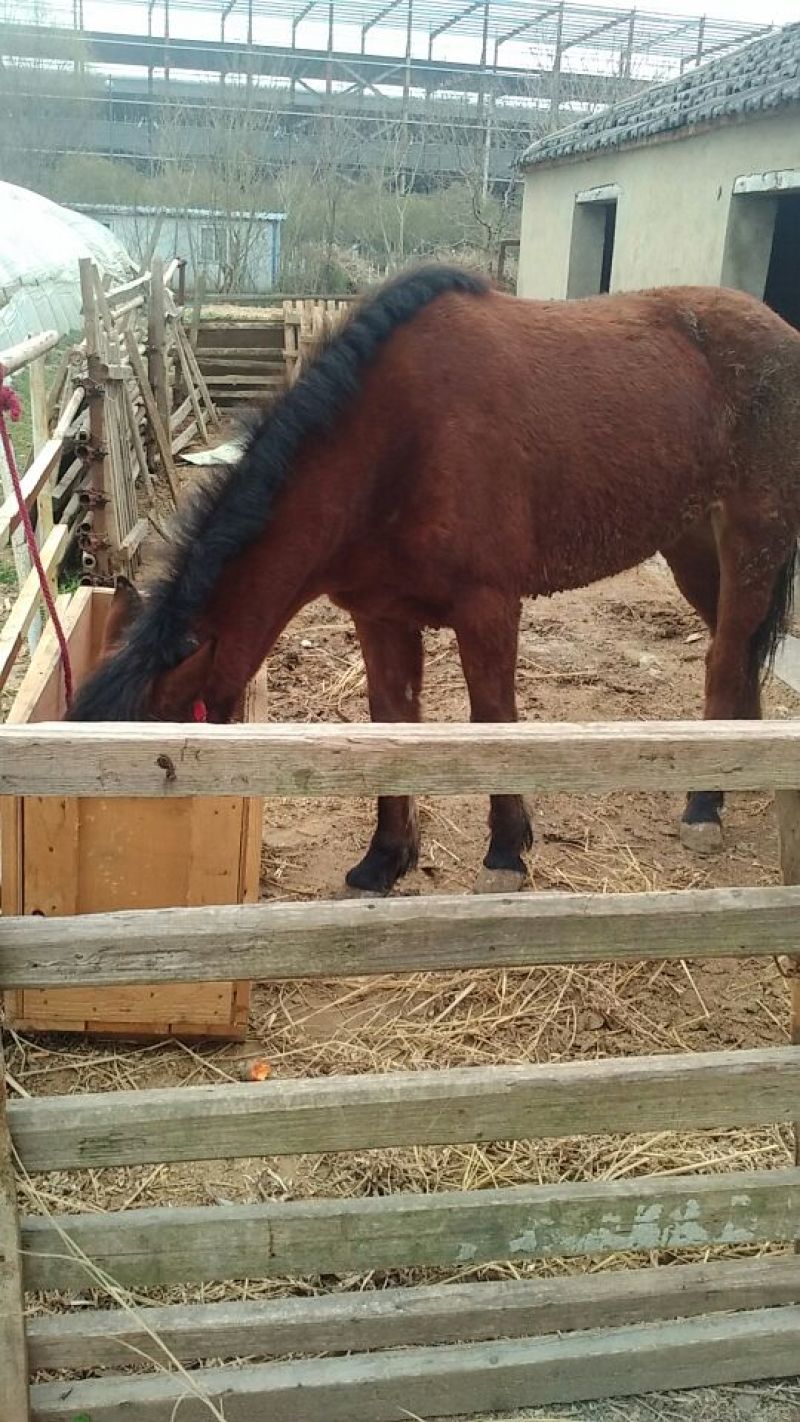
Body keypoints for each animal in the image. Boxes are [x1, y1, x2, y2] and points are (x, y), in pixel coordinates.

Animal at [67, 264, 800, 896]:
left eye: (154, 776)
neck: (391, 444)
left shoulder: (488, 610)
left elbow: (493, 719)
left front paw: (505, 852)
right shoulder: (380, 615)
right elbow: (392, 721)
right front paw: (385, 859)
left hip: (752, 537)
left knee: (725, 655)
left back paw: (704, 804)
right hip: (690, 544)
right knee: (738, 654)